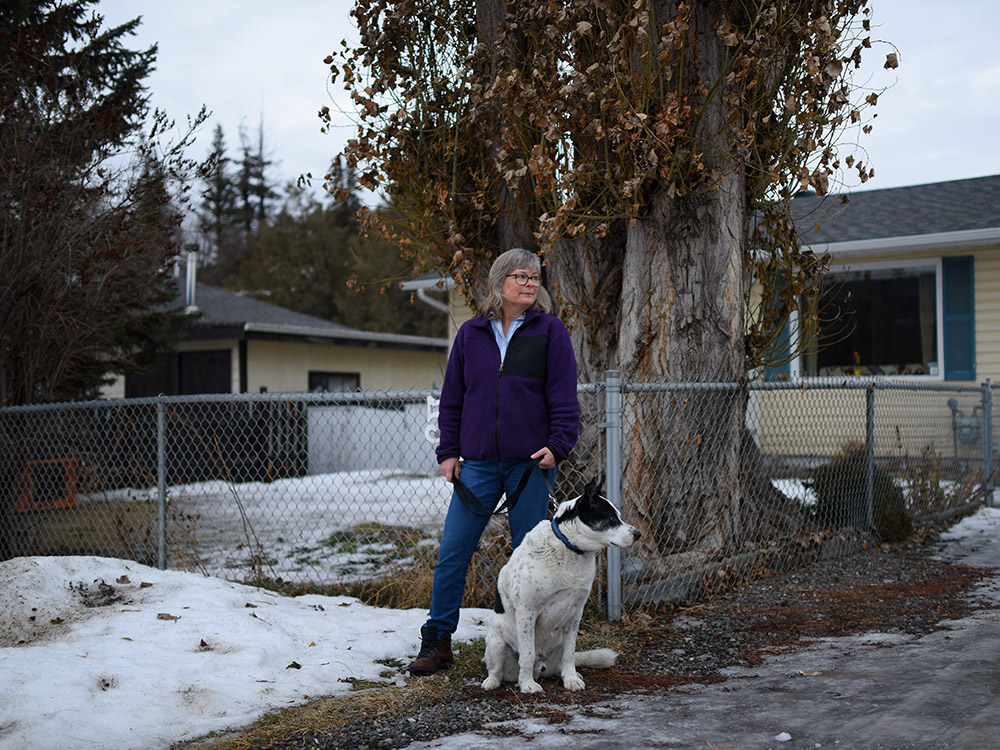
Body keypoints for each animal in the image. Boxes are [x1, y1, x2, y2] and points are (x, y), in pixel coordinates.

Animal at [482, 478, 640, 696]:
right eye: (609, 518)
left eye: (619, 516)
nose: (638, 534)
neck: (569, 548)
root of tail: (542, 668)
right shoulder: (527, 612)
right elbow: (527, 654)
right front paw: (527, 684)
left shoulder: (575, 613)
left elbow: (570, 654)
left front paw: (571, 679)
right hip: (496, 643)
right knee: (496, 669)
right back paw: (493, 681)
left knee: (561, 662)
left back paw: (569, 674)